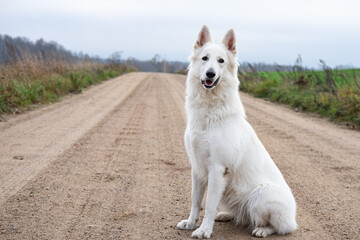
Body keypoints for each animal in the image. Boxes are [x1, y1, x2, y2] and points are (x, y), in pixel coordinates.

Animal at [176, 25, 296, 239]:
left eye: (221, 61)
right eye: (205, 58)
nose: (210, 74)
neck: (210, 111)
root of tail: (294, 217)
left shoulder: (217, 169)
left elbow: (209, 205)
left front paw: (204, 230)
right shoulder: (196, 168)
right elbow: (196, 201)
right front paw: (191, 223)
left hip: (261, 193)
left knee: (281, 227)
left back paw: (263, 230)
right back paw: (225, 215)